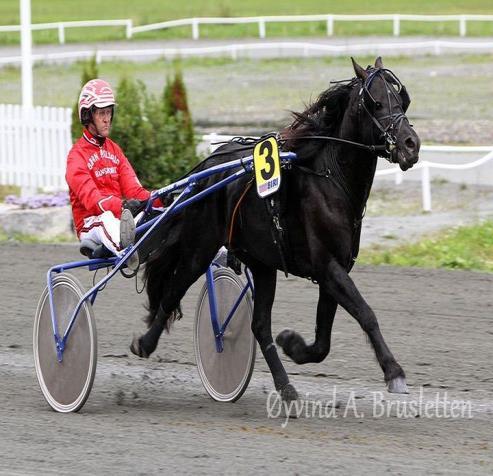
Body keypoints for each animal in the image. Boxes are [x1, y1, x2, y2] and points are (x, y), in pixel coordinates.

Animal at [130, 57, 418, 400]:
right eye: (375, 103)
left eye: (402, 100)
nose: (411, 144)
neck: (331, 179)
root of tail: (206, 167)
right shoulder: (329, 267)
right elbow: (366, 314)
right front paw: (394, 372)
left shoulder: (334, 269)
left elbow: (322, 342)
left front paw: (292, 343)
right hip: (201, 246)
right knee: (174, 288)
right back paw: (144, 343)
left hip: (262, 263)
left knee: (259, 325)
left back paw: (285, 385)